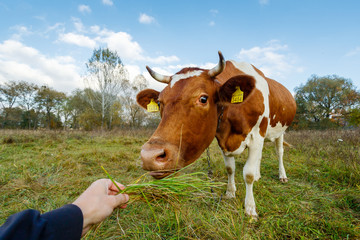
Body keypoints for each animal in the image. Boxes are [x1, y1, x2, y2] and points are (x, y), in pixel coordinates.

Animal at [136, 51, 296, 218]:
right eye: (159, 102)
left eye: (203, 98)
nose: (149, 156)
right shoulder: (222, 139)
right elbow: (230, 168)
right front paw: (230, 193)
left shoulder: (257, 135)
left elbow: (248, 174)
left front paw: (250, 208)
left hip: (280, 131)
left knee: (279, 152)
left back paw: (282, 176)